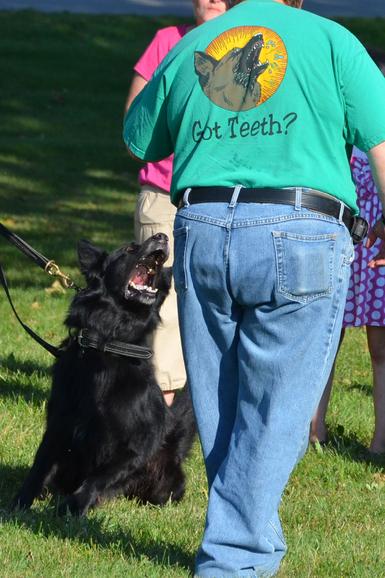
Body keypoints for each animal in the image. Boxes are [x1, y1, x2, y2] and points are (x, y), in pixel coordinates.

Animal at [12, 232, 195, 516]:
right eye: (129, 249)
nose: (162, 236)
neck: (110, 343)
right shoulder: (58, 425)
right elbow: (38, 468)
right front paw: (18, 504)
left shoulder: (139, 443)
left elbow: (99, 477)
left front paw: (74, 507)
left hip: (163, 485)